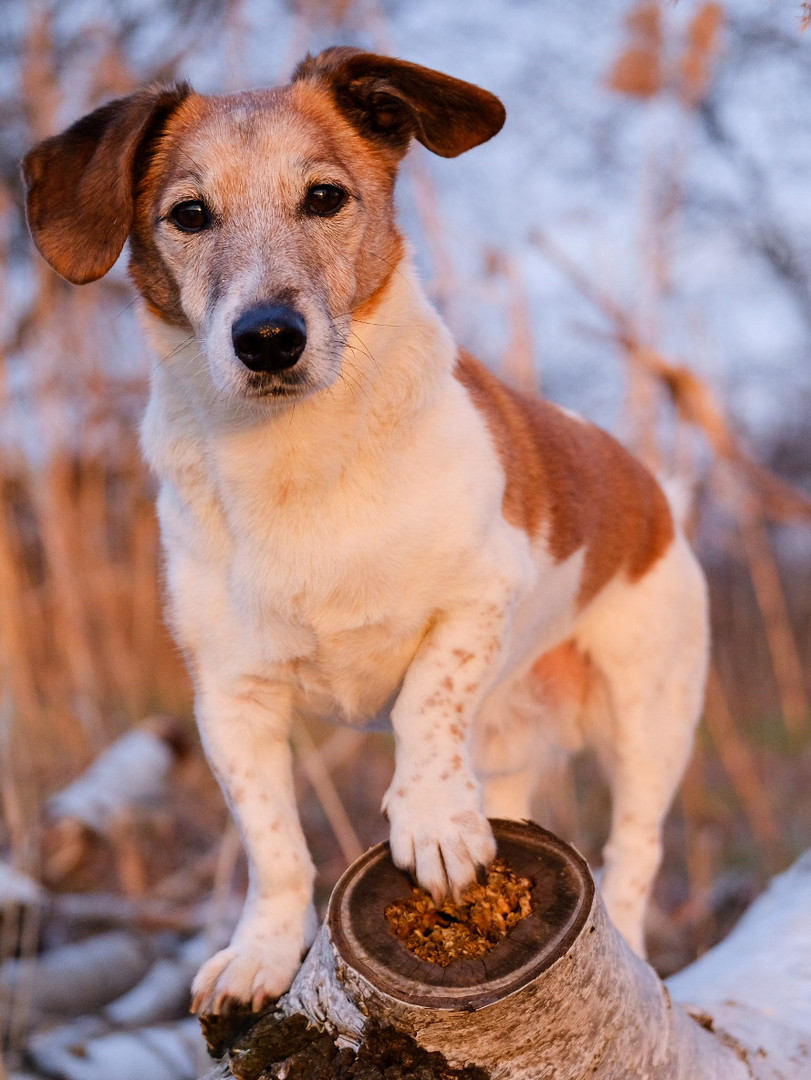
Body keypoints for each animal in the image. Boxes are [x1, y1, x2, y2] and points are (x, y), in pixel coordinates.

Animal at [23, 48, 708, 1010]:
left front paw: (432, 824)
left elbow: (425, 702)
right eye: (189, 213)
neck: (296, 465)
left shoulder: (477, 598)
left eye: (324, 197)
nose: (268, 338)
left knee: (634, 853)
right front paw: (262, 953)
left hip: (650, 714)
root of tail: (656, 494)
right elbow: (272, 842)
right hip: (514, 745)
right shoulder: (227, 696)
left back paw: (639, 952)